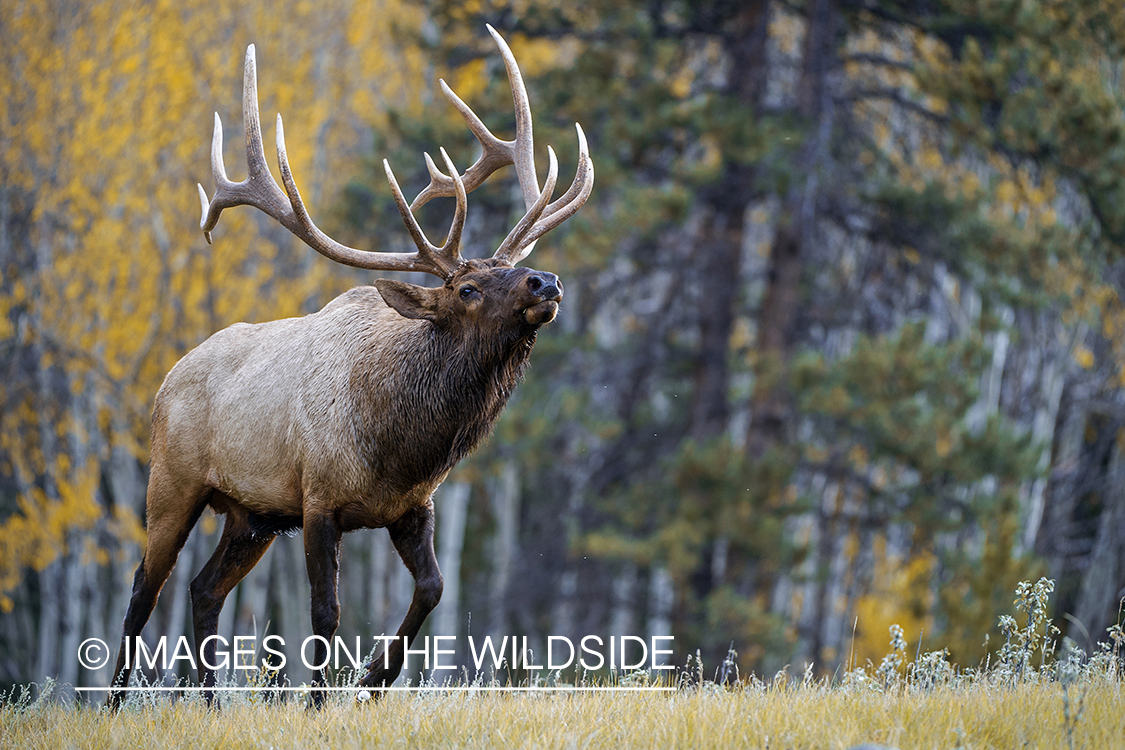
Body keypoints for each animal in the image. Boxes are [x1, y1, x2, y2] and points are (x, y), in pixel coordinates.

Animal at [109, 27, 594, 710]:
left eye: (511, 268)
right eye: (467, 287)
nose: (544, 280)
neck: (401, 445)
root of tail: (165, 382)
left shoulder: (412, 508)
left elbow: (433, 590)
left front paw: (372, 682)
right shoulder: (318, 500)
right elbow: (325, 612)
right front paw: (317, 703)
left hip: (252, 514)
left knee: (204, 589)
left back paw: (210, 702)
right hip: (174, 482)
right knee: (143, 589)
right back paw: (111, 703)